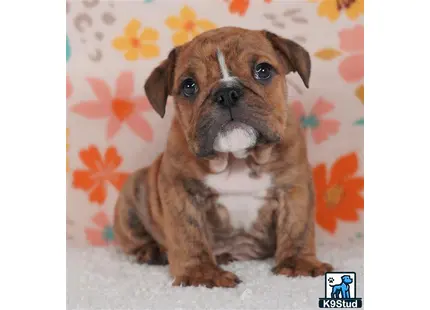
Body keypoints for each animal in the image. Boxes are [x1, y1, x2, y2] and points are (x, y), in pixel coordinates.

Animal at [113, 26, 332, 288]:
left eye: (263, 70)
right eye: (189, 85)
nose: (227, 93)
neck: (237, 158)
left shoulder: (294, 187)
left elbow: (297, 227)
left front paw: (299, 264)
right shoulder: (180, 191)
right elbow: (189, 235)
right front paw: (201, 273)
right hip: (132, 192)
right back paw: (151, 252)